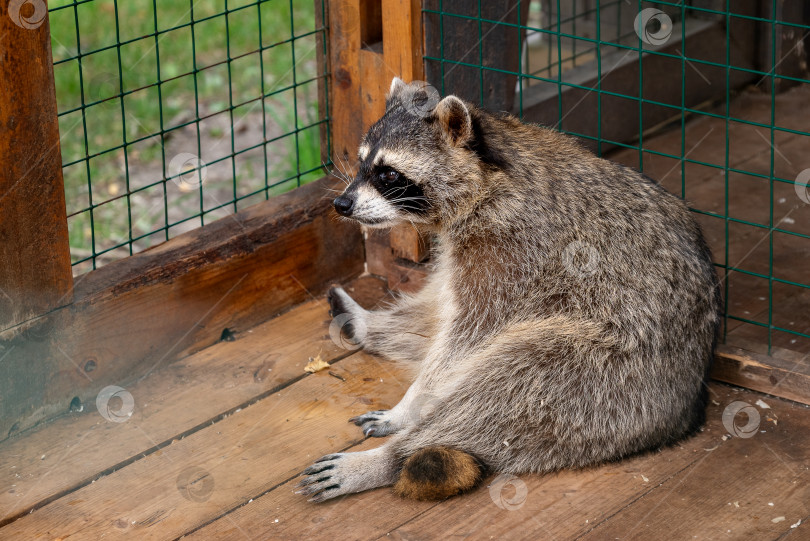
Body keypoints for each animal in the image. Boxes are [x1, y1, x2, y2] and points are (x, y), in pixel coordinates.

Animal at [296, 78, 720, 500]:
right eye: (362, 163)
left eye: (388, 175)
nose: (342, 203)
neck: (488, 181)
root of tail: (685, 409)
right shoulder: (469, 248)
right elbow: (440, 308)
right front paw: (378, 328)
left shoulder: (516, 252)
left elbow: (468, 338)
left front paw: (412, 404)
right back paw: (366, 325)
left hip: (608, 377)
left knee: (505, 384)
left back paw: (384, 460)